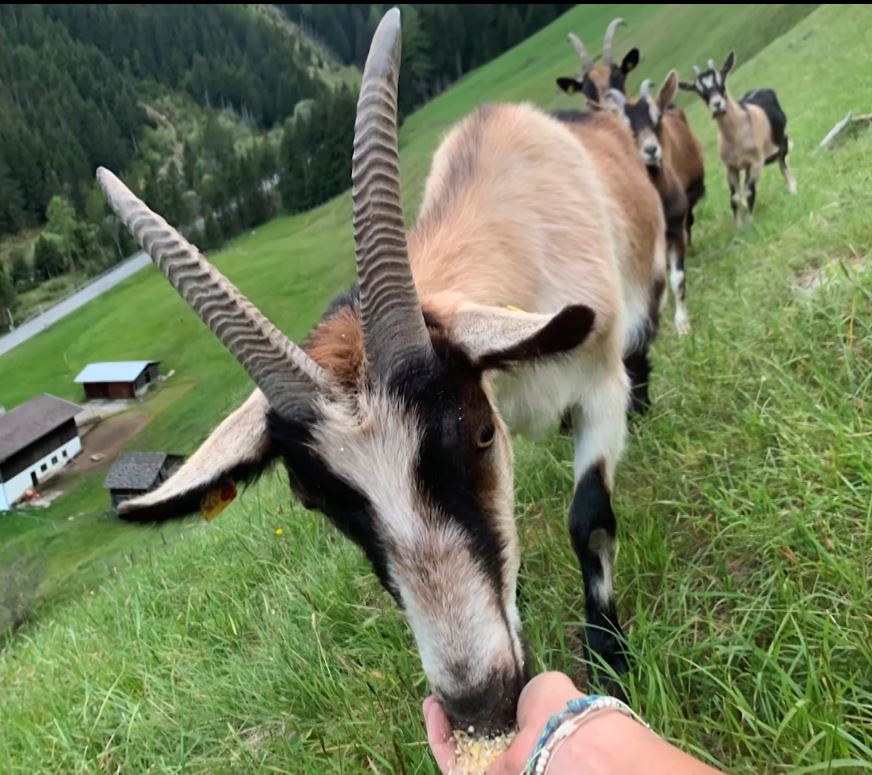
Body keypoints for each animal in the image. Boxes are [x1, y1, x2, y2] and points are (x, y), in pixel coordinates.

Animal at [97, 8, 657, 733]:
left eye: (478, 432)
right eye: (313, 499)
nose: (481, 704)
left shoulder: (596, 385)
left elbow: (588, 517)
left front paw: (612, 660)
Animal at [605, 71, 705, 335]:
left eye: (656, 117)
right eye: (625, 126)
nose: (651, 150)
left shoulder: (675, 228)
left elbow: (677, 277)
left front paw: (682, 324)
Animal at [679, 52, 796, 223]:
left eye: (722, 81)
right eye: (699, 91)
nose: (717, 105)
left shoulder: (756, 163)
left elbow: (748, 192)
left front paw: (751, 222)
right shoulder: (731, 168)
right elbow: (734, 198)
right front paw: (739, 225)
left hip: (782, 142)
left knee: (783, 165)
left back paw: (793, 189)